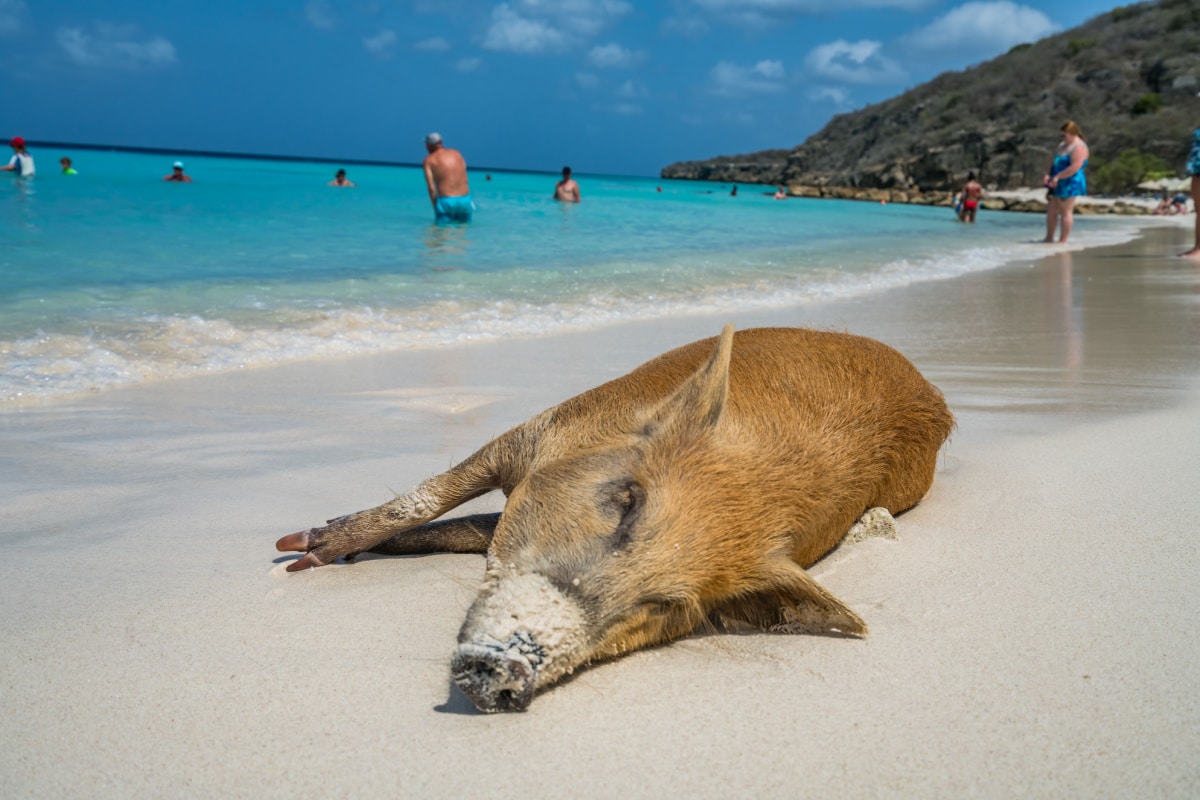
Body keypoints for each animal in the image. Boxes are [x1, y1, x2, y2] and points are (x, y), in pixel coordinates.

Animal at [274, 326, 955, 714]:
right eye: (627, 501)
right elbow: (433, 496)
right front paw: (299, 551)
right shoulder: (536, 430)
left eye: (663, 606)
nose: (512, 670)